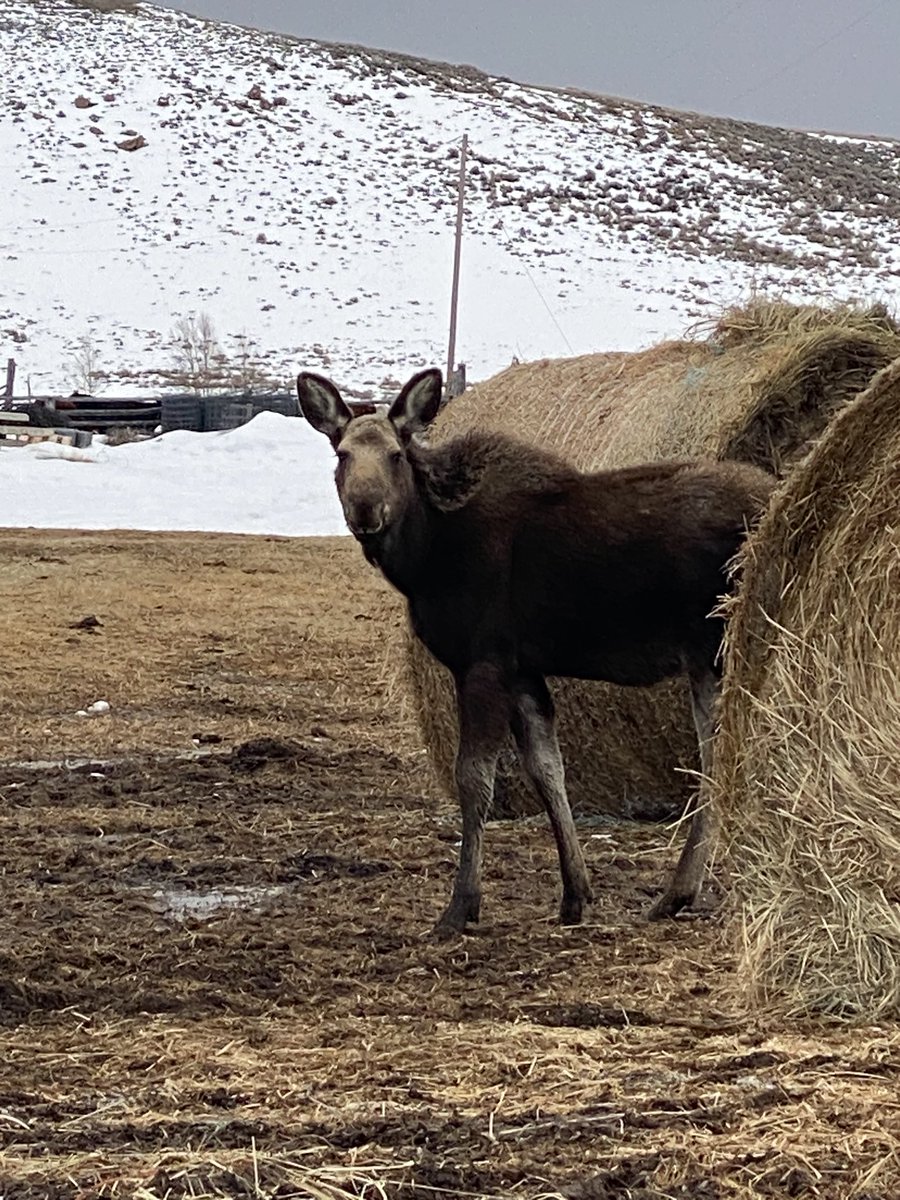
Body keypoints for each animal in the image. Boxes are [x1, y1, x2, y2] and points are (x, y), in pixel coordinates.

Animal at [300, 364, 777, 936]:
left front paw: (460, 906)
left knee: (720, 758)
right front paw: (575, 894)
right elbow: (549, 772)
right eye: (342, 454)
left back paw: (680, 890)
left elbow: (474, 780)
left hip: (720, 647)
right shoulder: (524, 670)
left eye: (396, 453)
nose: (366, 509)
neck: (425, 557)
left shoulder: (483, 660)